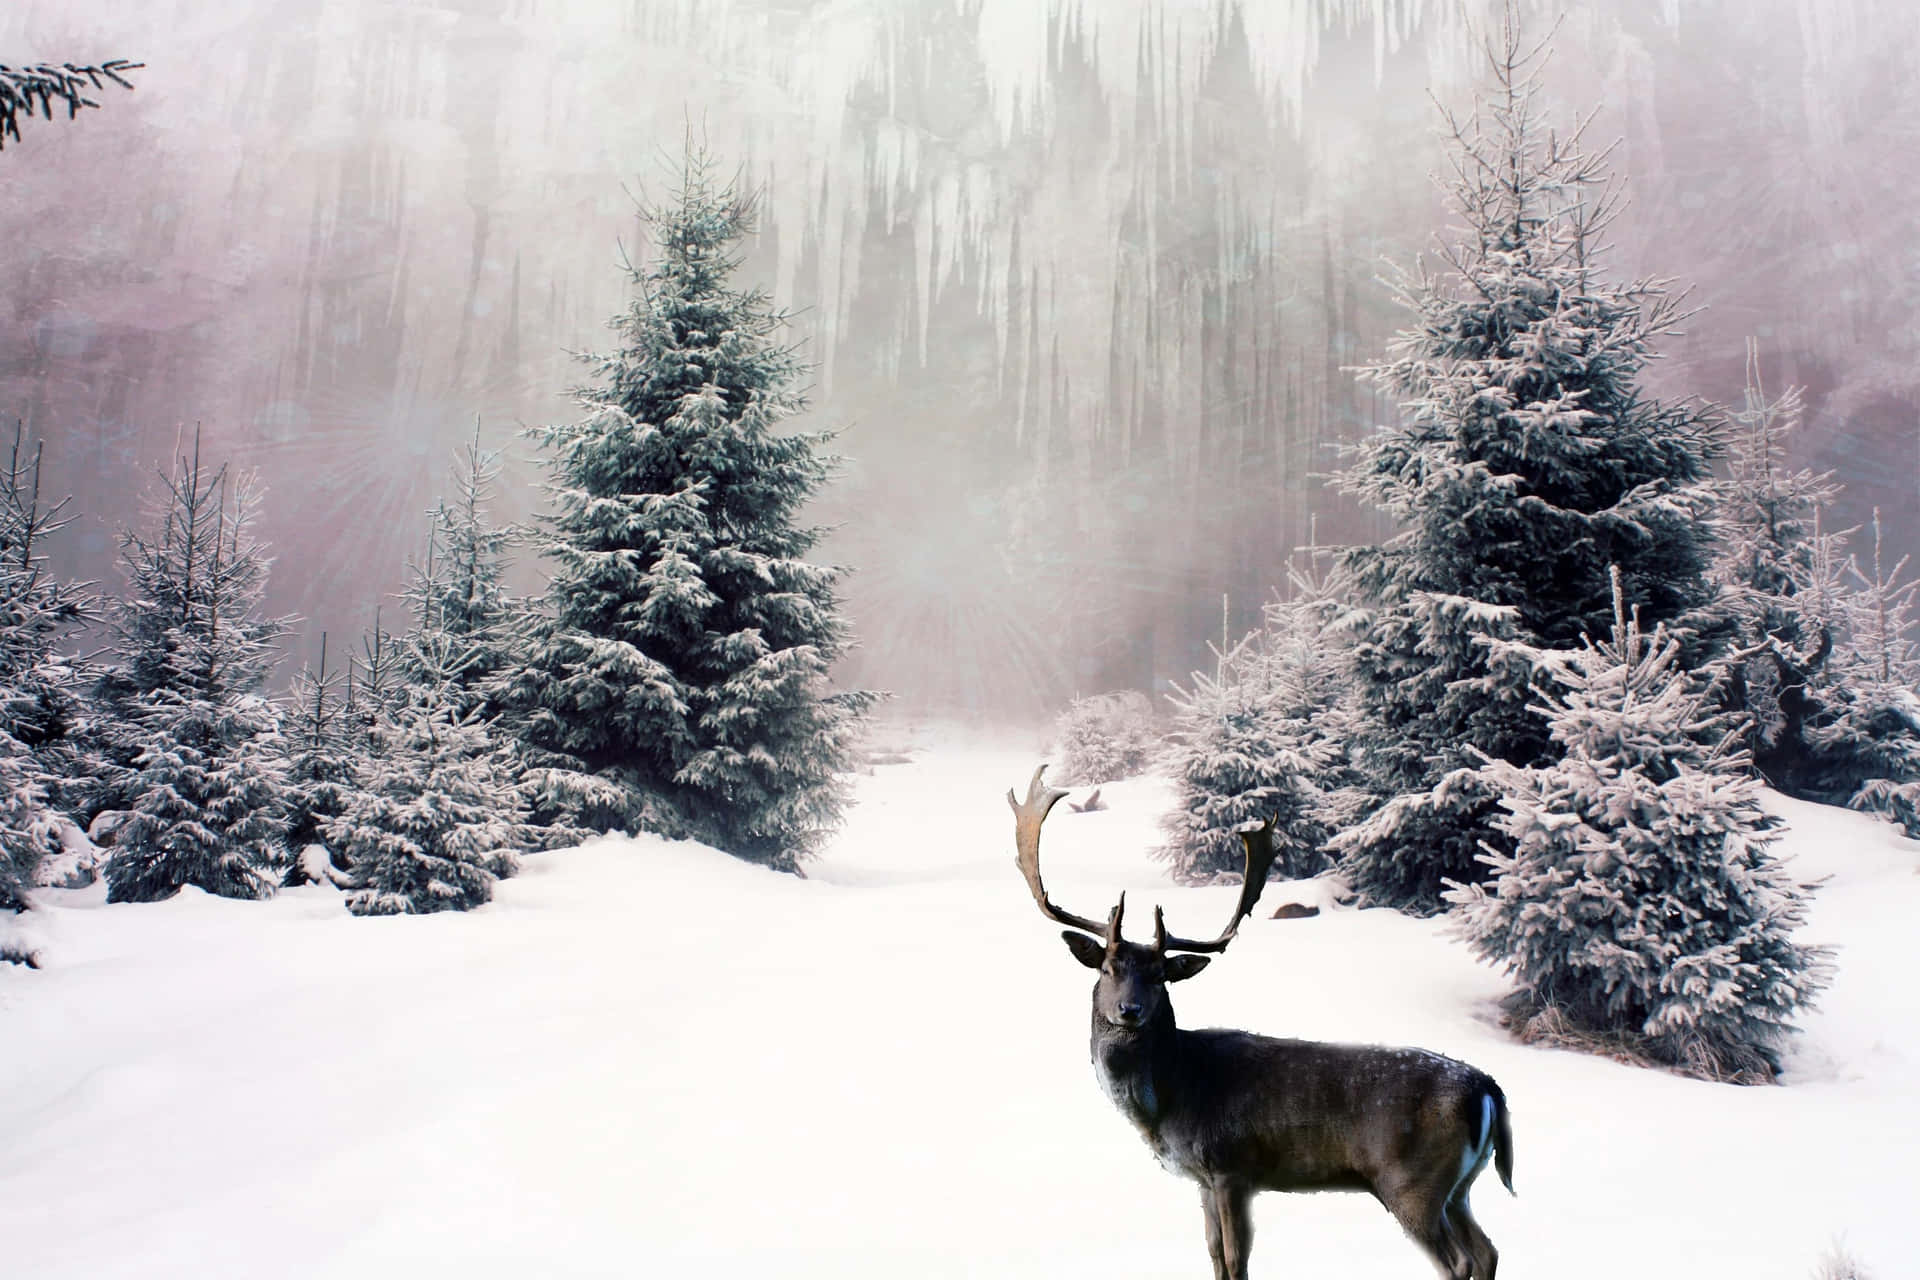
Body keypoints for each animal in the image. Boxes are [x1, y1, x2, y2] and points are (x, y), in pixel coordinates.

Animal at [1010, 766, 1514, 1279]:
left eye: (1158, 976)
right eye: (1108, 969)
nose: (1129, 1011)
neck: (1169, 1098)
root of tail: (1487, 1089)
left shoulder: (1232, 1166)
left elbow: (1237, 1259)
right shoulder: (1202, 1179)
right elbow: (1214, 1254)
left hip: (1411, 1180)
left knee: (1458, 1260)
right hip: (1459, 1187)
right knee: (1487, 1250)